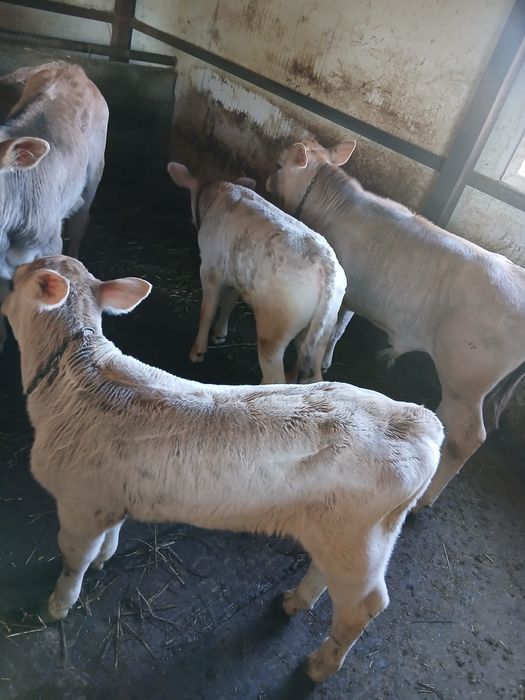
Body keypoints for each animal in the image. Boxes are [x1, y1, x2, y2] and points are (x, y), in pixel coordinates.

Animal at [2, 254, 444, 682]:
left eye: (17, 277)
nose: (4, 292)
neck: (73, 378)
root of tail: (421, 421)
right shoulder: (108, 496)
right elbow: (107, 538)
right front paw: (104, 558)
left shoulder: (80, 501)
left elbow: (71, 558)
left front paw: (56, 606)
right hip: (341, 534)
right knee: (328, 573)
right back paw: (293, 601)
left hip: (360, 538)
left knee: (364, 604)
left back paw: (319, 666)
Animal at [167, 162, 347, 384]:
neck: (218, 191)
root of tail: (326, 263)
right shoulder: (235, 274)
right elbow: (228, 303)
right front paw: (219, 333)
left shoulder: (210, 268)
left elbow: (207, 311)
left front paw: (198, 351)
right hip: (322, 331)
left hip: (274, 328)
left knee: (275, 377)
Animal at [266, 138, 525, 507]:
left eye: (278, 164)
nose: (266, 182)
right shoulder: (350, 295)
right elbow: (338, 330)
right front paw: (326, 360)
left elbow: (315, 335)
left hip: (465, 380)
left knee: (467, 436)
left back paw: (427, 497)